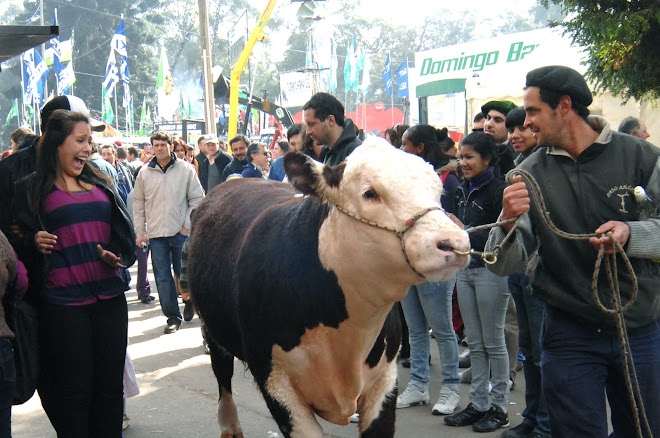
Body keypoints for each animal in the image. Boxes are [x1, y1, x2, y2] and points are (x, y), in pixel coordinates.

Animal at [188, 139, 472, 436]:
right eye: (370, 193)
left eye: (438, 190)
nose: (454, 242)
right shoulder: (274, 380)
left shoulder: (384, 378)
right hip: (212, 327)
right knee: (222, 373)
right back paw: (230, 425)